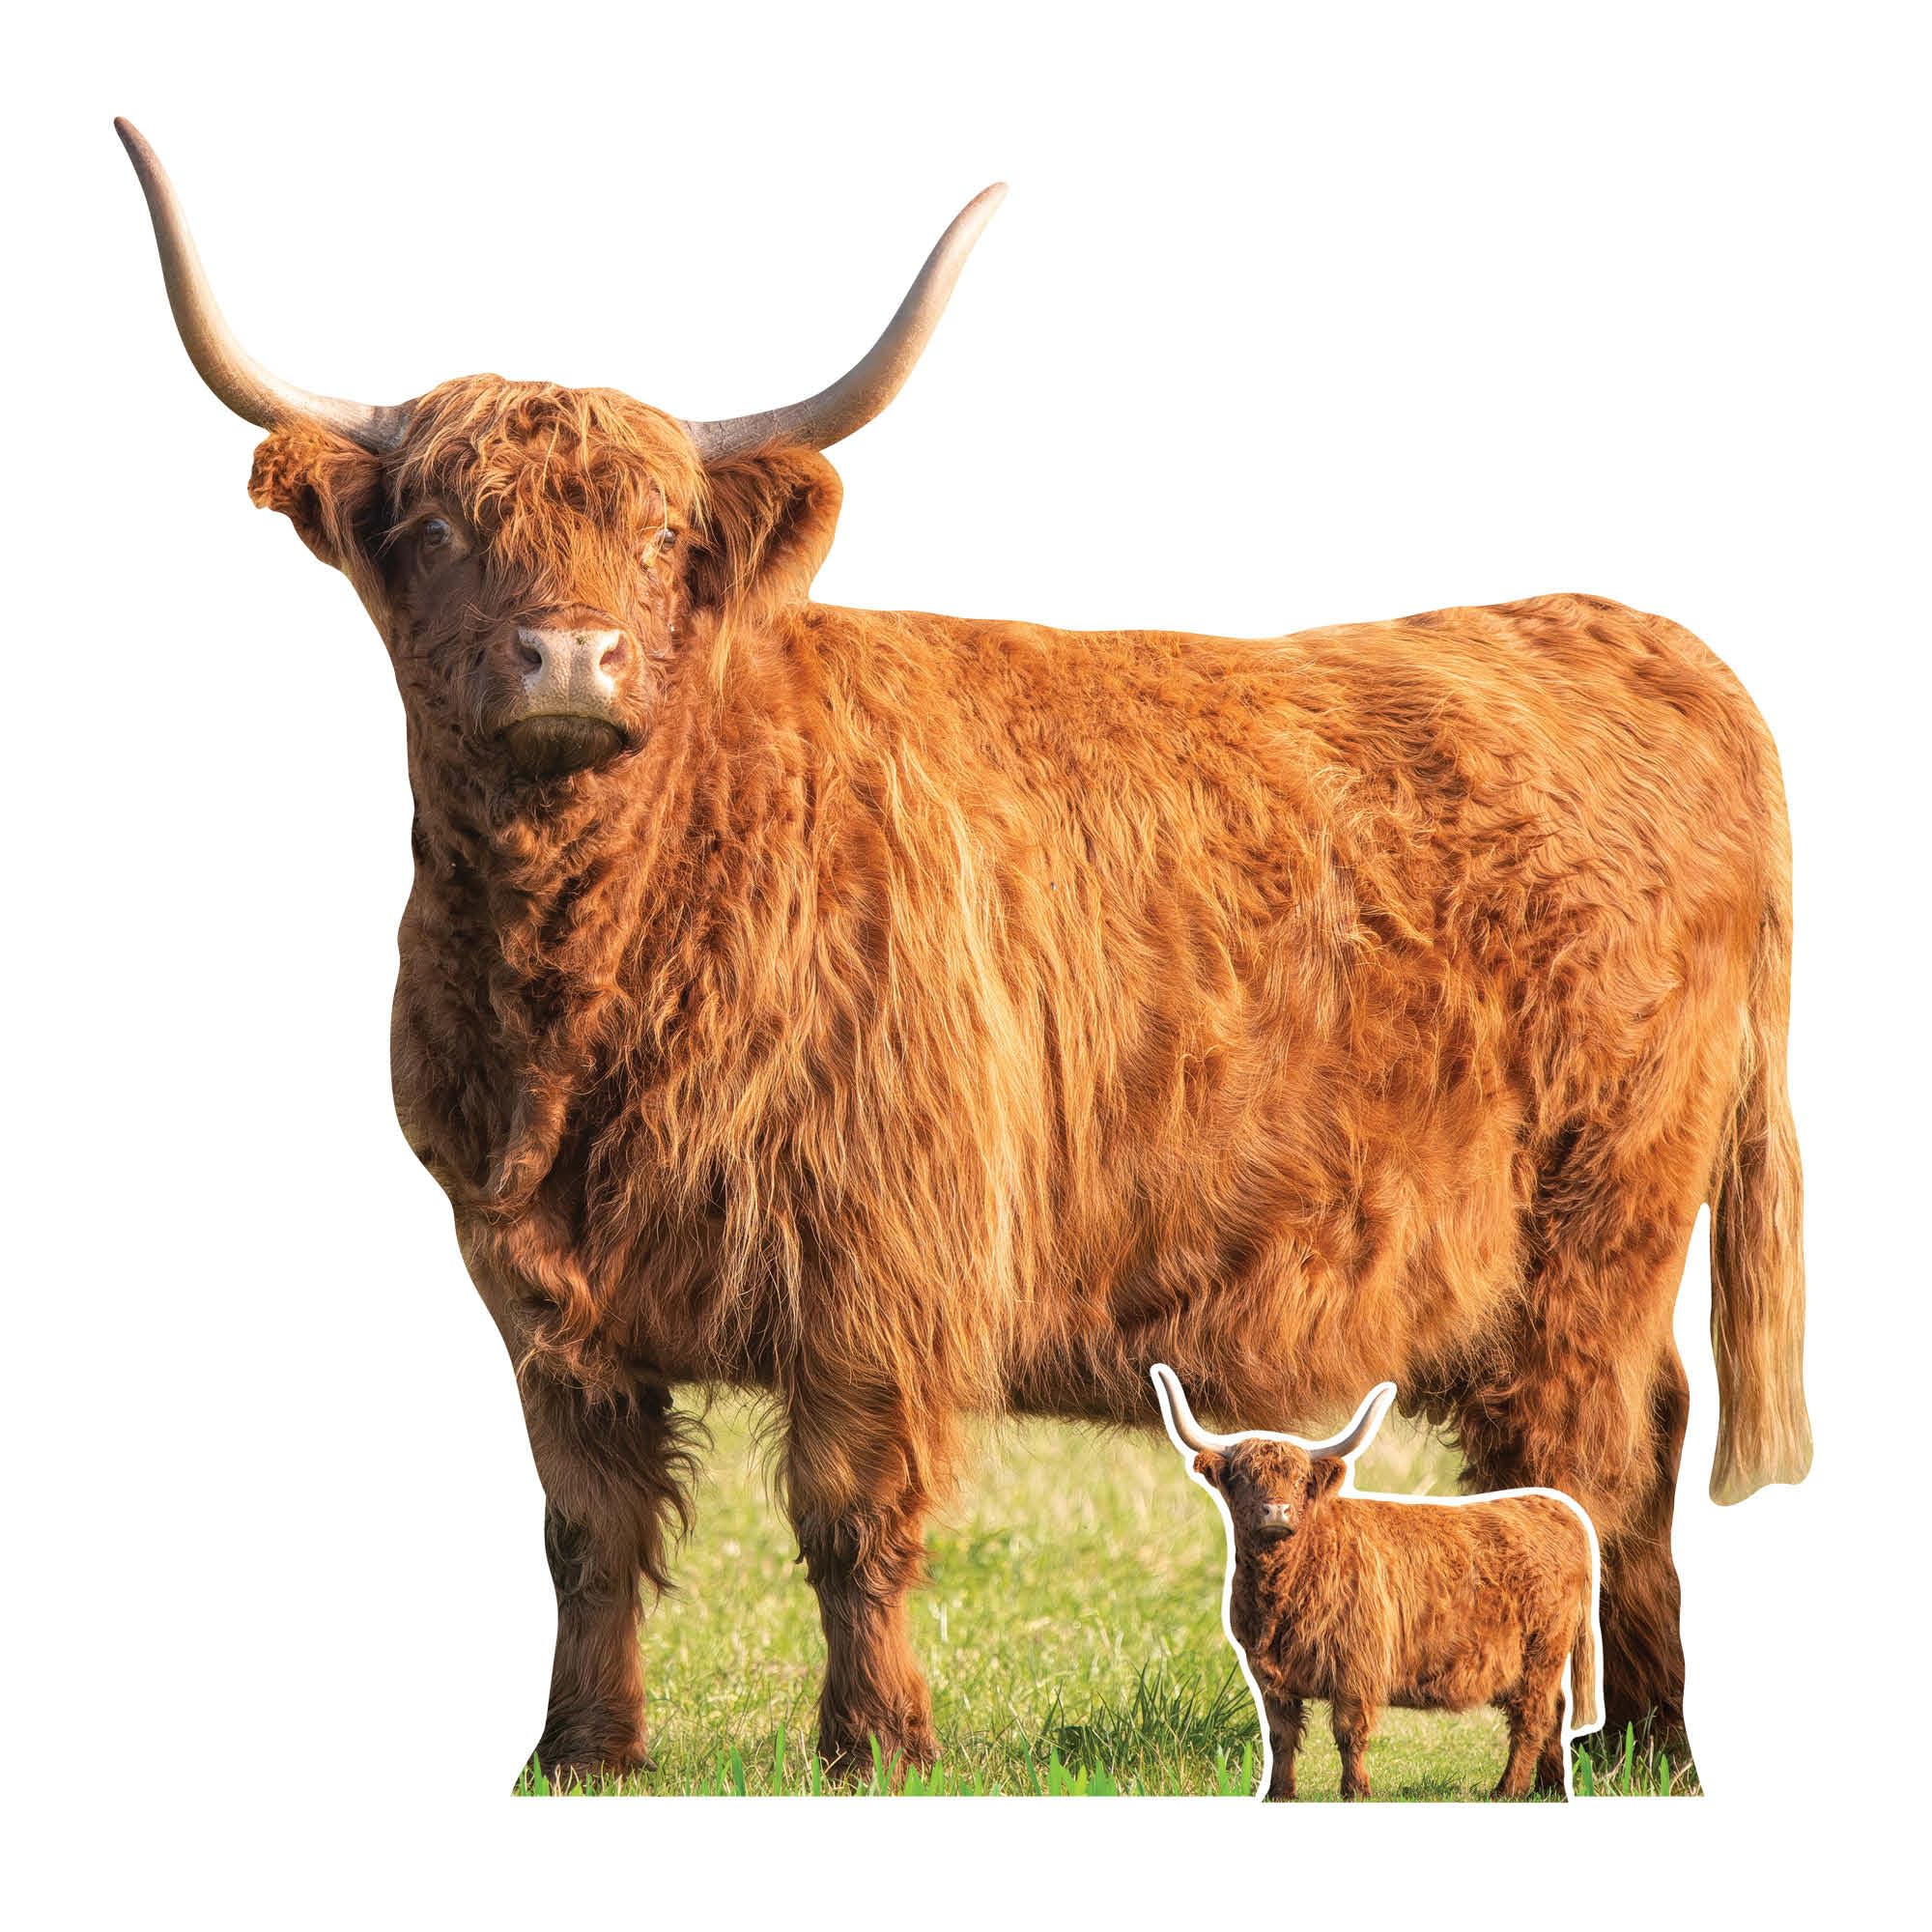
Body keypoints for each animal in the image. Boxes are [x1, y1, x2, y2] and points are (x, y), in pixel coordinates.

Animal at [1152, 1366, 1601, 1801]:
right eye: (1244, 1477)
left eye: (1298, 1480)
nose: (1276, 1510)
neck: (1281, 1593)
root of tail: (1557, 1508)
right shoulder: (1268, 1675)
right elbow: (1281, 1736)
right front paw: (1280, 1793)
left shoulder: (1356, 1665)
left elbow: (1349, 1733)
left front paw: (1356, 1791)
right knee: (1556, 1712)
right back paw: (1549, 1787)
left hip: (1541, 1653)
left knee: (1531, 1717)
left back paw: (1508, 1789)